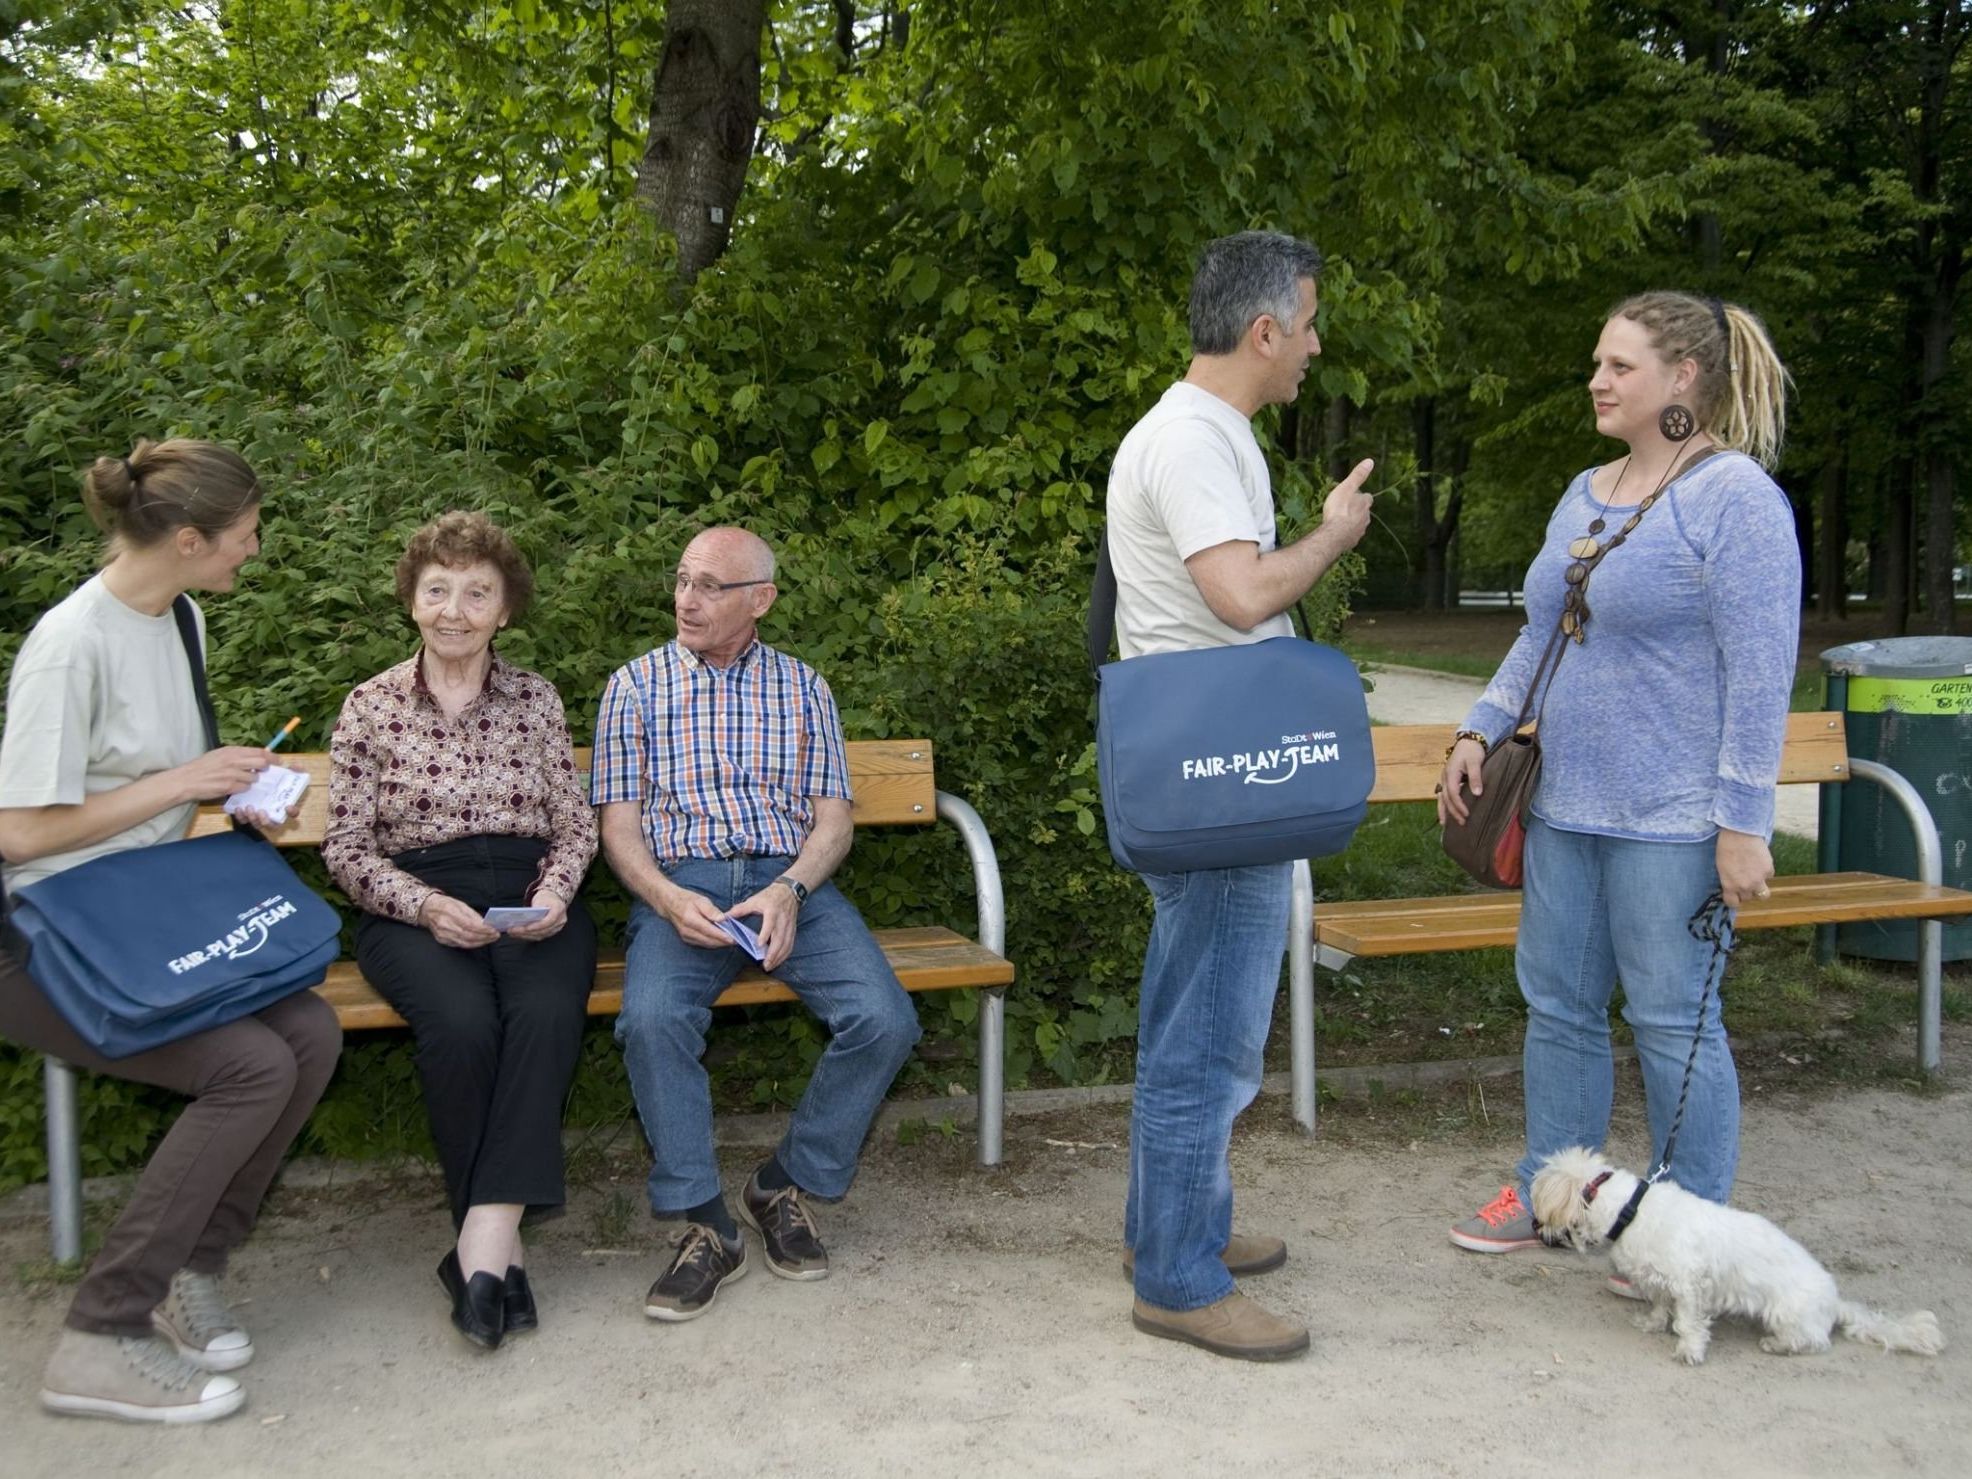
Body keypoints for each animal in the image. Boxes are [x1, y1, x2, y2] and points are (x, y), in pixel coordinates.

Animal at [1522, 1151, 1940, 1372]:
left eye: (1539, 1198)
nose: (1534, 1224)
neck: (1631, 1211)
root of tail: (1834, 1302)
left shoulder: (1690, 1285)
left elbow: (1689, 1322)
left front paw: (1689, 1350)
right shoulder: (1658, 1279)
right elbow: (1659, 1306)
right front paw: (1652, 1324)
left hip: (1786, 1313)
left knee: (1814, 1341)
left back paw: (1777, 1344)